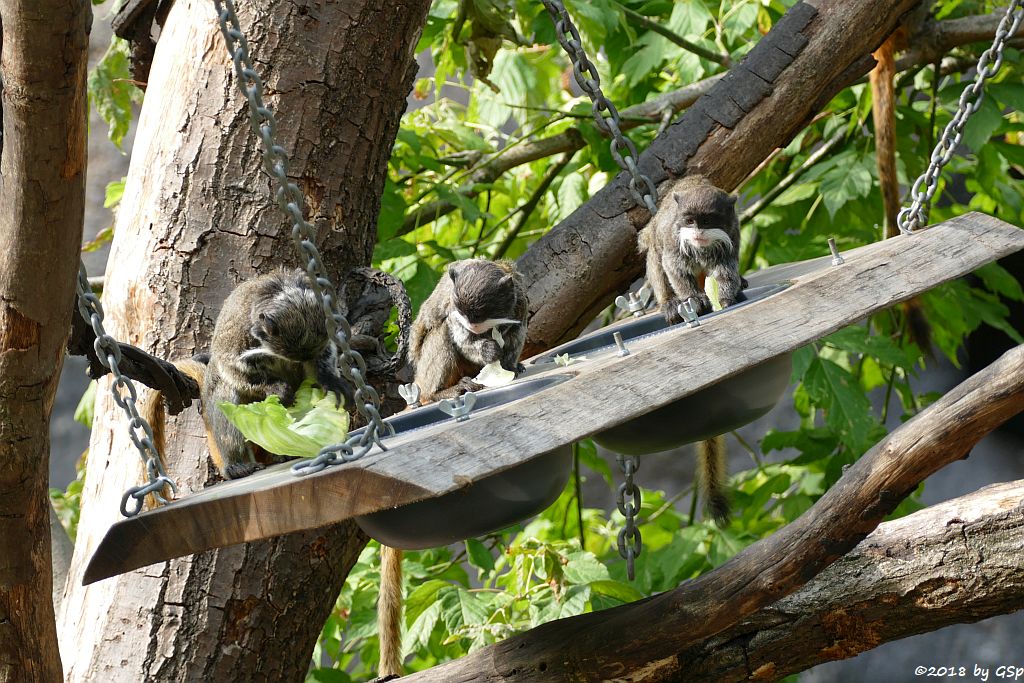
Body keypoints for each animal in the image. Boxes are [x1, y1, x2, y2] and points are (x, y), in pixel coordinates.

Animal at [142, 270, 354, 483]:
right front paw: (276, 388)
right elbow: (228, 364)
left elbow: (324, 355)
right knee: (226, 391)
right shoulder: (240, 327)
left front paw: (328, 380)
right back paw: (236, 465)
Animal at [380, 258, 532, 679]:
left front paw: (507, 362)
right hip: (423, 377)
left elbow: (517, 329)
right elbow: (455, 335)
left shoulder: (517, 298)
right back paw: (441, 393)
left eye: (483, 316)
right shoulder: (454, 306)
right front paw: (485, 349)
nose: (476, 328)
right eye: (470, 319)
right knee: (440, 337)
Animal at [634, 176, 741, 528]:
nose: (696, 234)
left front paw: (727, 296)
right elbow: (672, 266)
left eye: (707, 222)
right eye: (690, 221)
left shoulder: (730, 236)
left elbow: (726, 268)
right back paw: (670, 304)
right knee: (654, 257)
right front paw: (692, 300)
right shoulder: (673, 238)